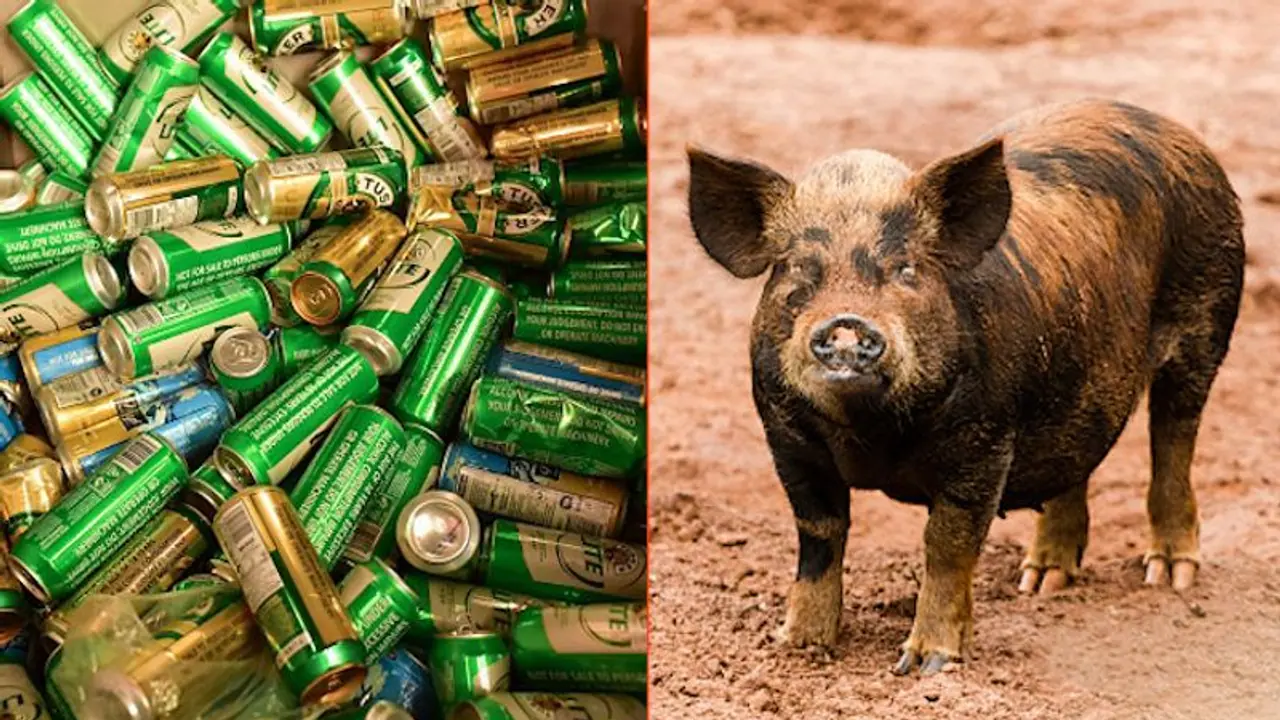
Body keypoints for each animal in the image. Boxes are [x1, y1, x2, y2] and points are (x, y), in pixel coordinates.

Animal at [686, 99, 1244, 675]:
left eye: (906, 269)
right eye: (797, 270)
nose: (846, 325)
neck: (869, 433)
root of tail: (1172, 130)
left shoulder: (985, 439)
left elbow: (947, 545)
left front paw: (925, 666)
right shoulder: (787, 437)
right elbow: (819, 536)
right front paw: (796, 647)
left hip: (1208, 316)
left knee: (1174, 437)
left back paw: (1170, 577)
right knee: (1079, 460)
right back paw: (1040, 583)